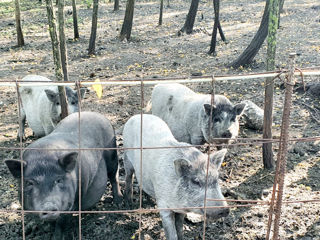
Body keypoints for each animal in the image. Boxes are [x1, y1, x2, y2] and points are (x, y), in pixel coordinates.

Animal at [5, 111, 122, 239]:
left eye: (59, 180)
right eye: (30, 183)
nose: (49, 207)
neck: (43, 155)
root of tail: (98, 115)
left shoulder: (76, 198)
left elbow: (62, 221)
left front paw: (56, 237)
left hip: (112, 154)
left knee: (114, 176)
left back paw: (119, 202)